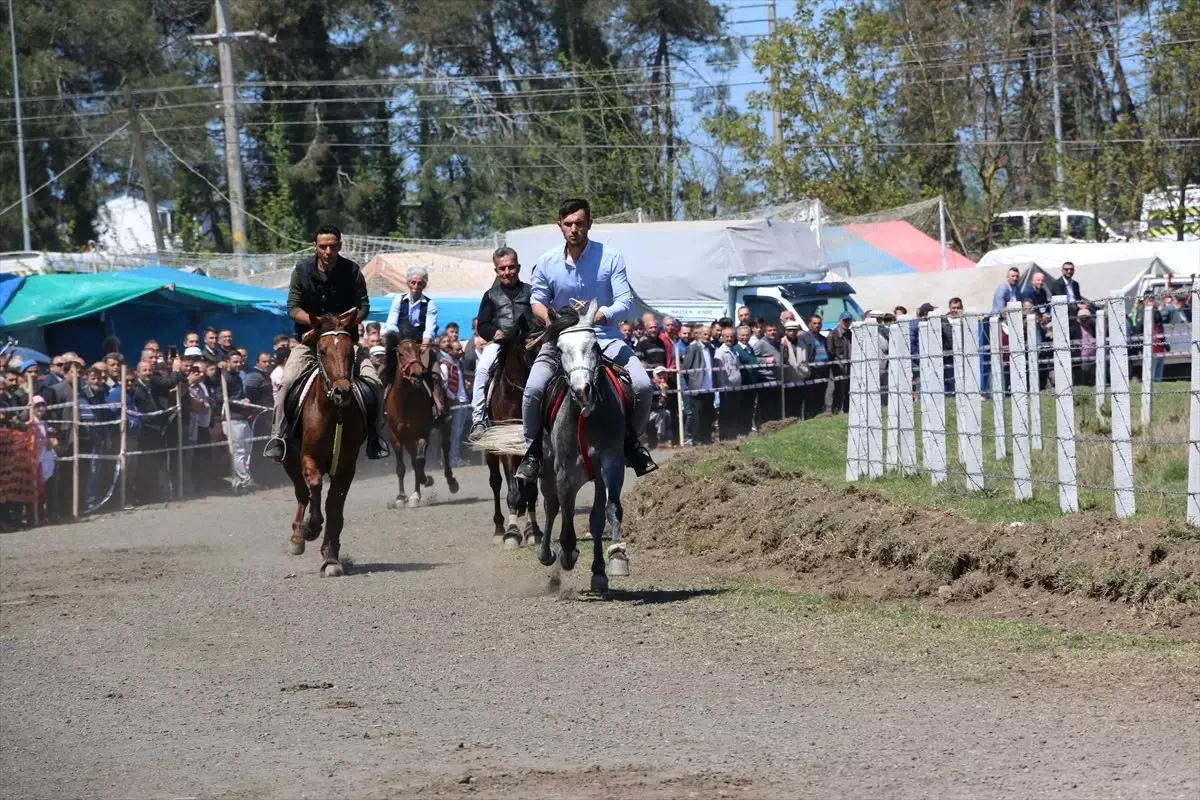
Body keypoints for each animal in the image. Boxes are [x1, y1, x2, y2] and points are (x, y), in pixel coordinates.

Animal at [283, 309, 362, 578]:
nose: (342, 392)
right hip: (289, 459)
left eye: (350, 352)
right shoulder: (308, 457)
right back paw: (297, 536)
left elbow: (334, 509)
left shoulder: (346, 466)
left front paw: (331, 558)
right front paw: (310, 528)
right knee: (302, 491)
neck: (333, 413)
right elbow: (314, 485)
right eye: (323, 351)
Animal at [384, 338, 458, 506]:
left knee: (445, 448)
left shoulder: (422, 432)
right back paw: (415, 494)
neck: (405, 402)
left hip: (445, 424)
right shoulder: (394, 436)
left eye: (418, 351)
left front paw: (427, 480)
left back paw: (450, 482)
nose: (417, 374)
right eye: (401, 354)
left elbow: (420, 461)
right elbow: (401, 468)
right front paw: (401, 497)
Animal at [487, 338, 544, 551]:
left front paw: (533, 531)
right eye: (530, 347)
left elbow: (531, 491)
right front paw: (511, 533)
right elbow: (512, 491)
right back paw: (499, 529)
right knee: (495, 482)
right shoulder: (506, 447)